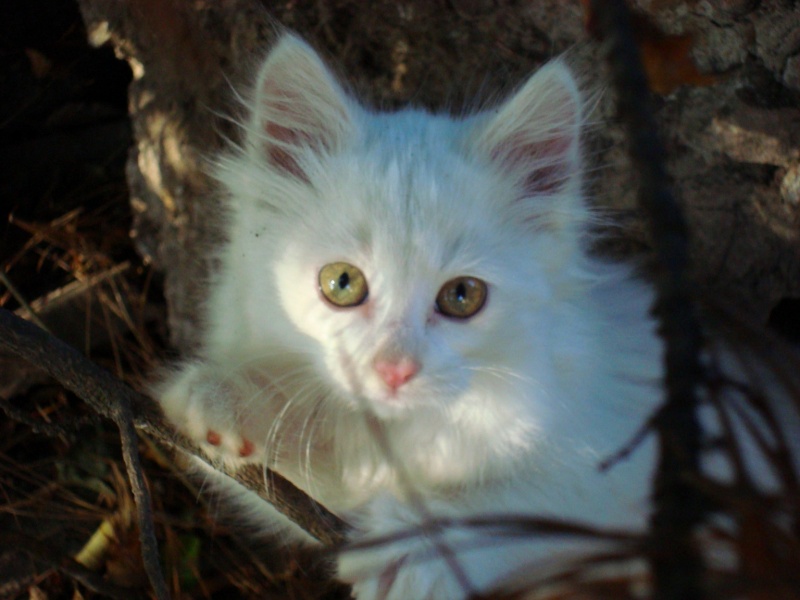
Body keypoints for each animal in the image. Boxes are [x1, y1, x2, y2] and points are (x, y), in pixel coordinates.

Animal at [155, 33, 672, 598]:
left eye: (463, 296)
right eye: (342, 283)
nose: (394, 371)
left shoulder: (631, 447)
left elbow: (532, 501)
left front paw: (418, 548)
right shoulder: (328, 491)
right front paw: (234, 399)